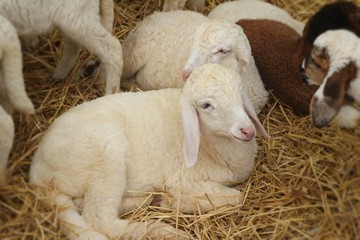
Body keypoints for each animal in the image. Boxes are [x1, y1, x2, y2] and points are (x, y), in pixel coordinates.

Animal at [29, 62, 268, 239]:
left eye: (240, 92)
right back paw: (162, 230)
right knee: (99, 220)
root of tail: (38, 172)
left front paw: (167, 201)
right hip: (106, 155)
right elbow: (237, 197)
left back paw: (148, 201)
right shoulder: (182, 179)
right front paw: (175, 202)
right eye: (206, 106)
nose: (247, 130)